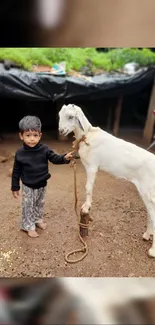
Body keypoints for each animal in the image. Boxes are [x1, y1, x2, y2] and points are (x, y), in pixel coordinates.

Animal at [59, 103, 155, 256]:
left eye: (71, 116)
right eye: (60, 115)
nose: (61, 131)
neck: (87, 136)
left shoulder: (92, 166)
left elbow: (88, 187)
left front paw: (86, 206)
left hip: (148, 190)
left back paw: (152, 251)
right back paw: (146, 235)